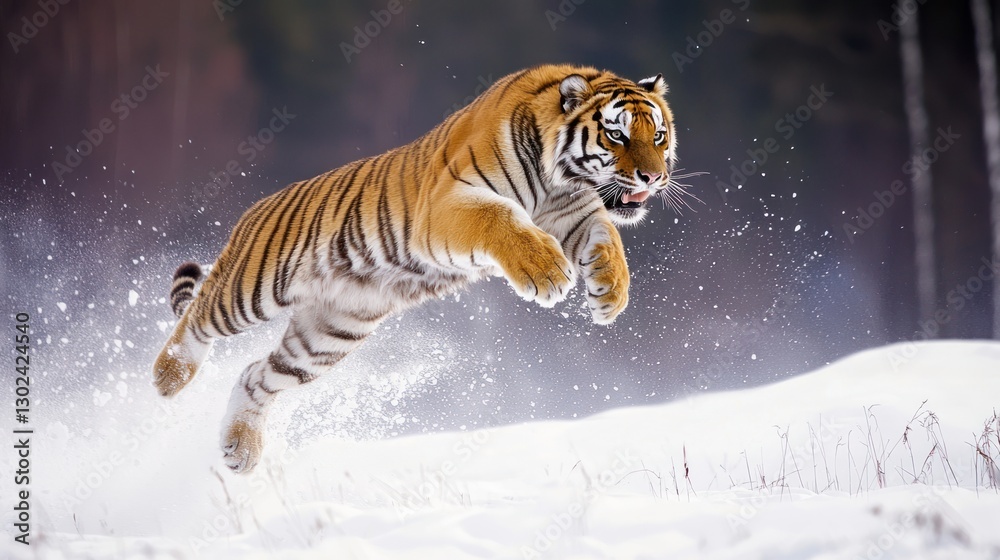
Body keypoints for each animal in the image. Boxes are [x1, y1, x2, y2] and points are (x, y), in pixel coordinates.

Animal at [153, 64, 678, 473]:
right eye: (616, 134)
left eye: (657, 135)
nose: (654, 177)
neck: (560, 178)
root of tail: (253, 210)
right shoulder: (448, 204)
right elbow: (501, 217)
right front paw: (546, 275)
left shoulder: (576, 215)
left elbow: (608, 239)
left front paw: (609, 294)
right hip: (254, 288)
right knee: (198, 315)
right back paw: (168, 376)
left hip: (328, 336)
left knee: (254, 374)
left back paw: (239, 449)